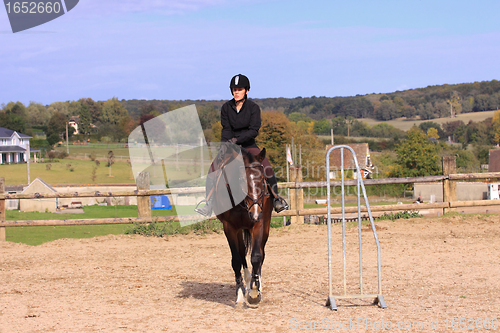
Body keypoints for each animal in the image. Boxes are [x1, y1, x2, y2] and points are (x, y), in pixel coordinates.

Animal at [212, 145, 274, 306]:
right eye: (241, 179)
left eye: (263, 179)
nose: (255, 213)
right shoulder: (229, 227)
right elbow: (236, 260)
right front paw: (240, 294)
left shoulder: (259, 224)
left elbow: (257, 256)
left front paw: (254, 292)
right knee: (241, 252)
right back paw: (247, 281)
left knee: (261, 253)